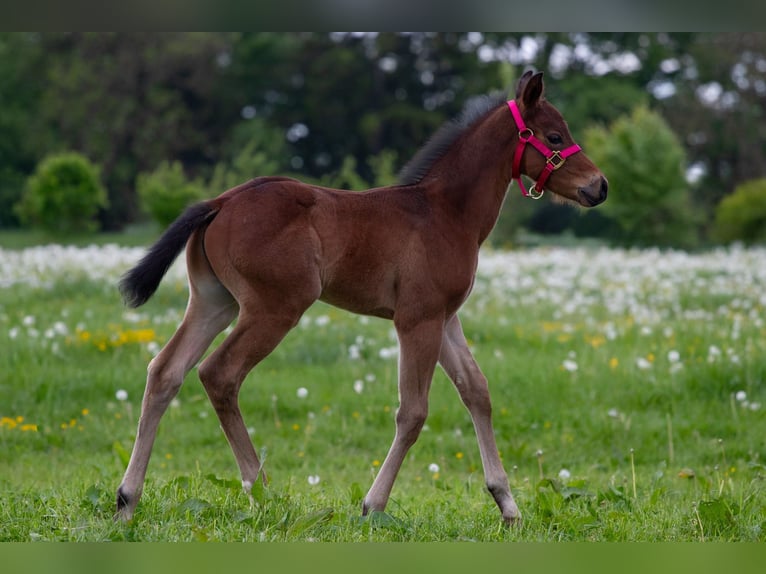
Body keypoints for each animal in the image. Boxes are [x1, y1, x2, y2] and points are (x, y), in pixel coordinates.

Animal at [115, 70, 607, 525]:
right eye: (555, 136)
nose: (599, 186)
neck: (446, 211)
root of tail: (220, 202)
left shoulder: (445, 317)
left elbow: (477, 391)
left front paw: (507, 504)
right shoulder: (417, 319)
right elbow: (413, 412)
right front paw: (373, 505)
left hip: (214, 302)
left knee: (165, 371)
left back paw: (127, 499)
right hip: (275, 307)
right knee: (219, 373)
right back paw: (263, 493)